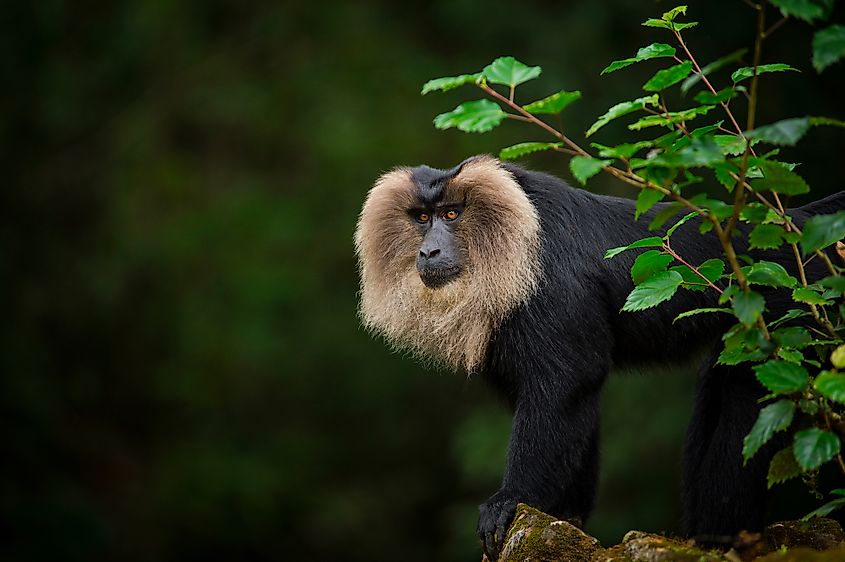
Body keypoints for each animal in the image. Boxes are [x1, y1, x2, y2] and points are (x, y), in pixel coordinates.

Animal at [354, 154, 844, 559]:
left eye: (452, 214)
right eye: (422, 218)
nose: (429, 250)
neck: (511, 241)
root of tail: (795, 225)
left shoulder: (552, 281)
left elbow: (568, 384)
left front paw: (510, 502)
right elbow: (570, 406)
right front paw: (564, 519)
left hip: (786, 310)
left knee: (750, 404)